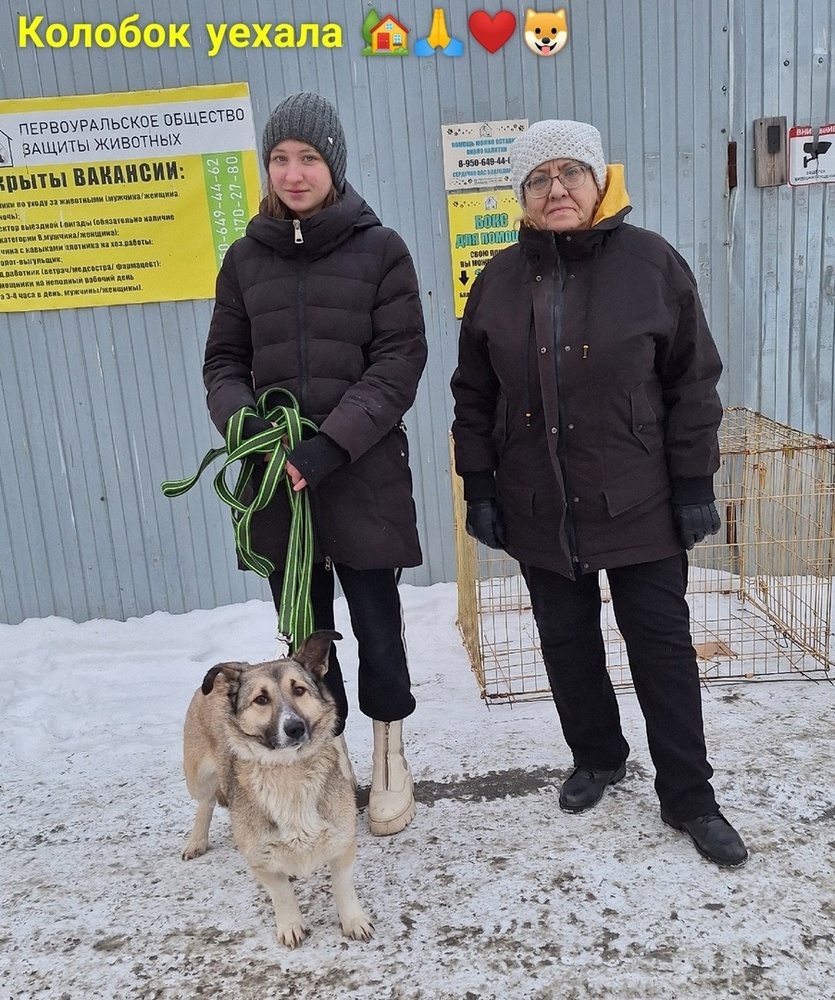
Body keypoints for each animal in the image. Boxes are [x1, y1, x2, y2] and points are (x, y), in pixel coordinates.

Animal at [181, 628, 374, 948]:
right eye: (261, 699)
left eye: (299, 690)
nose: (294, 728)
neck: (289, 772)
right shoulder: (260, 859)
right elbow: (281, 892)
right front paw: (291, 924)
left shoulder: (342, 842)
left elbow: (342, 886)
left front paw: (353, 920)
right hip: (197, 775)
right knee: (205, 802)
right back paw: (196, 840)